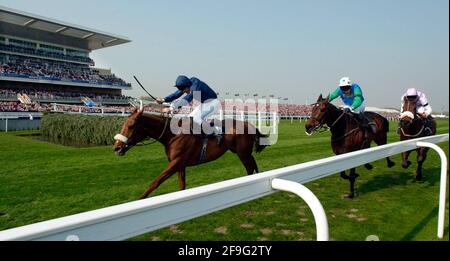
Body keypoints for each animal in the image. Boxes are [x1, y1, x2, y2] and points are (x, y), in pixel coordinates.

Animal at [113, 108, 268, 198]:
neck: (173, 135)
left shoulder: (176, 162)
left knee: (250, 168)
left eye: (131, 125)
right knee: (253, 165)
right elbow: (182, 186)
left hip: (243, 154)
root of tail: (250, 124)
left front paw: (140, 200)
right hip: (243, 152)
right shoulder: (180, 165)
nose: (116, 147)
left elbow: (155, 182)